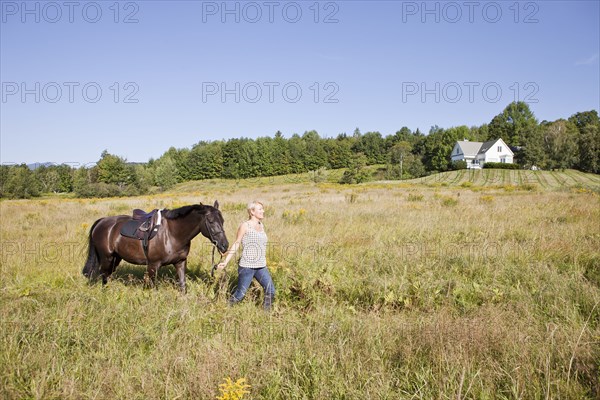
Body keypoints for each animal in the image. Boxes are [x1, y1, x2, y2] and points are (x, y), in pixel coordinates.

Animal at [82, 202, 227, 292]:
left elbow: (182, 285)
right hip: (106, 258)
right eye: (211, 221)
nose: (225, 245)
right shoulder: (153, 265)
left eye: (222, 221)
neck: (172, 234)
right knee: (103, 275)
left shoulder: (180, 262)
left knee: (107, 274)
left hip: (115, 258)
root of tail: (102, 221)